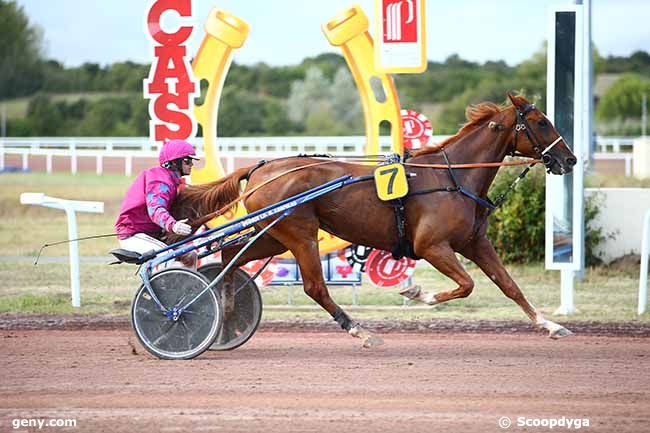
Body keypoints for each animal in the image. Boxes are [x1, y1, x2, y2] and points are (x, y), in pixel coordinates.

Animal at [170, 93, 576, 346]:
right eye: (541, 121)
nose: (570, 160)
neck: (452, 177)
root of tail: (260, 168)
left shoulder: (475, 243)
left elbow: (509, 286)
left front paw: (552, 324)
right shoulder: (431, 246)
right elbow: (466, 285)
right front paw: (417, 292)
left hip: (271, 234)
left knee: (230, 256)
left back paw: (225, 317)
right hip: (300, 234)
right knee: (314, 287)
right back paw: (359, 331)